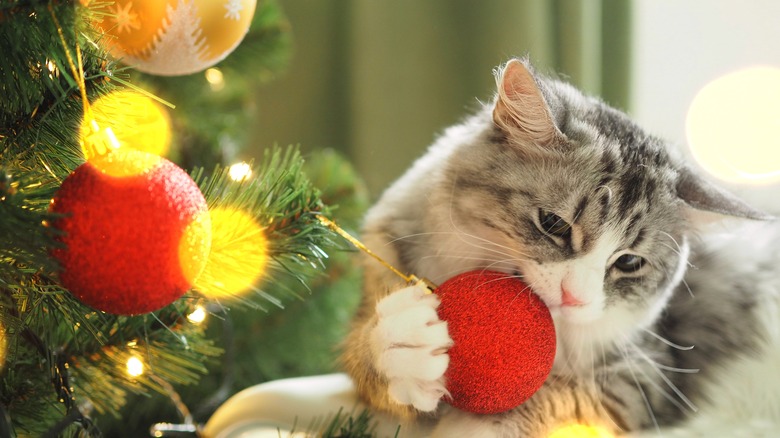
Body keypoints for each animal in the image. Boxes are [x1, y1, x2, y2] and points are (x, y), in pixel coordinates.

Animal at [340, 59, 780, 438]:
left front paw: (468, 428)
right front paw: (402, 343)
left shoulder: (643, 376)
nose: (574, 298)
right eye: (554, 224)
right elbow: (366, 353)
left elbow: (555, 397)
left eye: (629, 262)